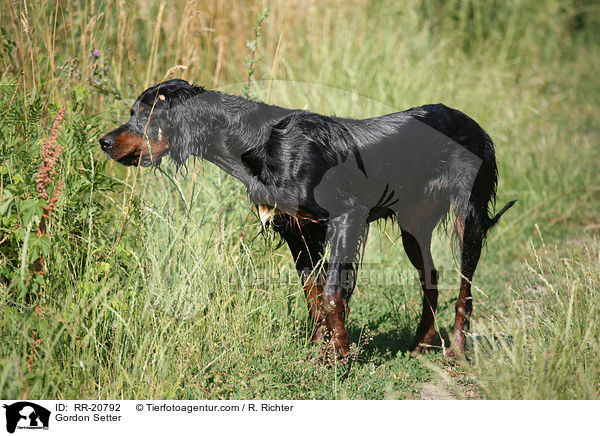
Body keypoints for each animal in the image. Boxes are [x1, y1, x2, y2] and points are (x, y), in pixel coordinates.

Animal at [101, 80, 512, 360]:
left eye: (145, 114)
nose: (103, 141)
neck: (259, 143)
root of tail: (475, 124)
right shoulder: (297, 231)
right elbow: (312, 294)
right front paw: (319, 347)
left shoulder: (347, 216)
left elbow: (331, 294)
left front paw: (340, 353)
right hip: (414, 223)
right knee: (432, 276)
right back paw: (423, 342)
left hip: (469, 216)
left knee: (465, 288)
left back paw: (457, 349)